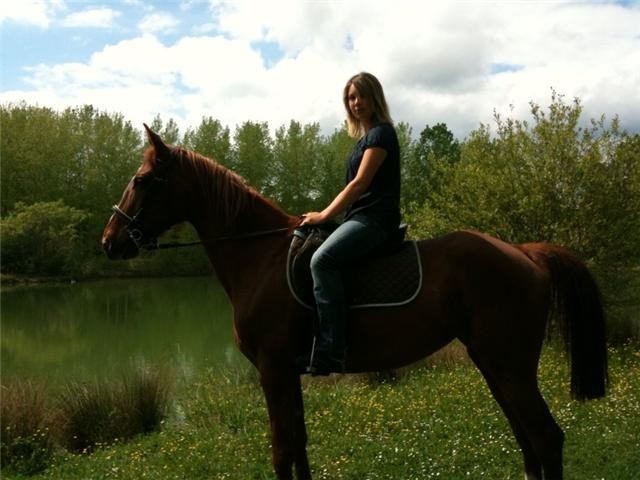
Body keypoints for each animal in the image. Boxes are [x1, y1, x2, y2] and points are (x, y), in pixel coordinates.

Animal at [102, 125, 608, 480]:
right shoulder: (288, 372)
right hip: (493, 362)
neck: (260, 255)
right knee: (528, 439)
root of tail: (524, 252)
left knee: (546, 438)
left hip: (510, 364)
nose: (109, 241)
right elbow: (298, 446)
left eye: (142, 180)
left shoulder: (272, 368)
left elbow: (281, 451)